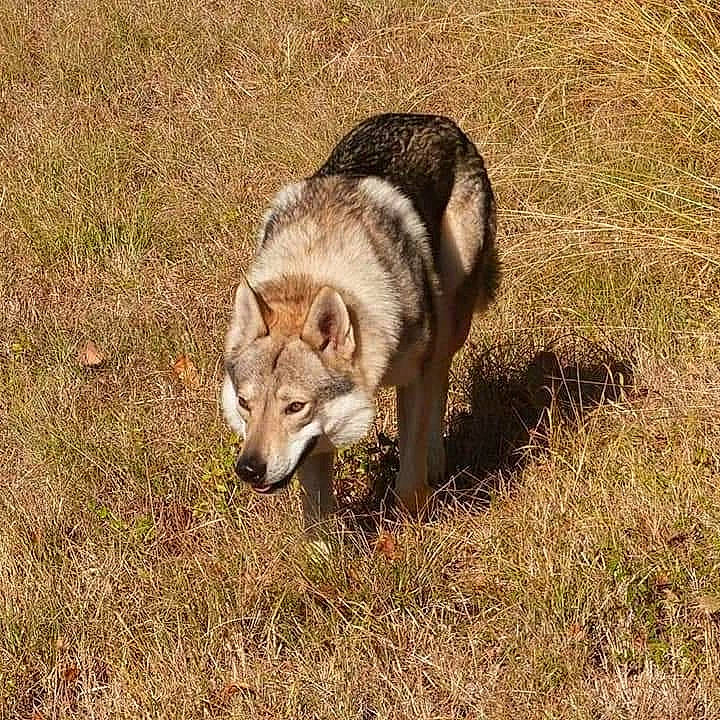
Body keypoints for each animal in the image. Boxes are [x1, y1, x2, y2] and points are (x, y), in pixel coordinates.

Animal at [222, 113, 498, 528]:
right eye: (244, 403)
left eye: (295, 407)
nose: (249, 469)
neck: (313, 269)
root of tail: (438, 120)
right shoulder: (316, 443)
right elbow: (318, 513)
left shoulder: (413, 380)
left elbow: (408, 479)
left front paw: (412, 526)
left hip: (451, 320)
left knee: (441, 379)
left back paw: (436, 461)